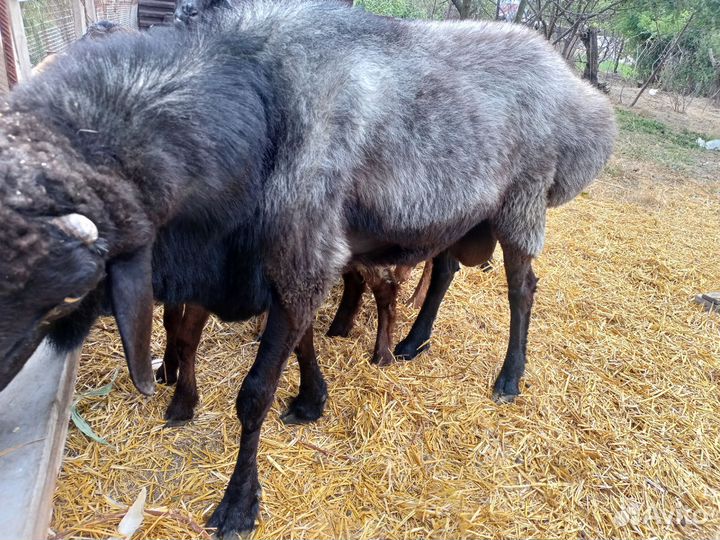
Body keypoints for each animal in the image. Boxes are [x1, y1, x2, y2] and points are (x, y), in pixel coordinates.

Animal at [0, 2, 616, 535]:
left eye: (70, 289)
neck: (259, 102)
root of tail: (582, 97)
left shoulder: (302, 257)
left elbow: (254, 394)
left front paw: (238, 505)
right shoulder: (287, 264)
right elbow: (300, 342)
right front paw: (311, 400)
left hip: (520, 205)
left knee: (523, 288)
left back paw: (509, 377)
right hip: (462, 216)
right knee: (443, 273)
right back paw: (412, 342)